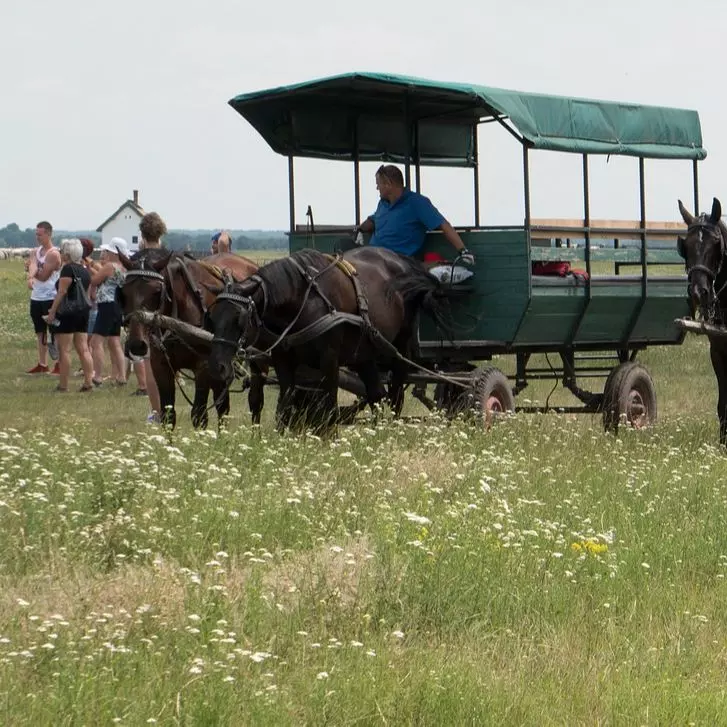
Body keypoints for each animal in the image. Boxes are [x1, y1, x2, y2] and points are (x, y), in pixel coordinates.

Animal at [115, 250, 260, 432]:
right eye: (124, 292)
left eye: (157, 291)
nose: (137, 345)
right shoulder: (160, 365)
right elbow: (168, 416)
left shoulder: (204, 367)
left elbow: (199, 415)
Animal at [205, 249, 452, 432]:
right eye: (212, 317)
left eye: (239, 318)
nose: (218, 367)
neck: (302, 300)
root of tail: (403, 263)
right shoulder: (284, 360)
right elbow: (284, 407)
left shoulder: (329, 361)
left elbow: (330, 407)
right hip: (363, 353)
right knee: (376, 394)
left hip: (399, 347)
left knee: (395, 394)